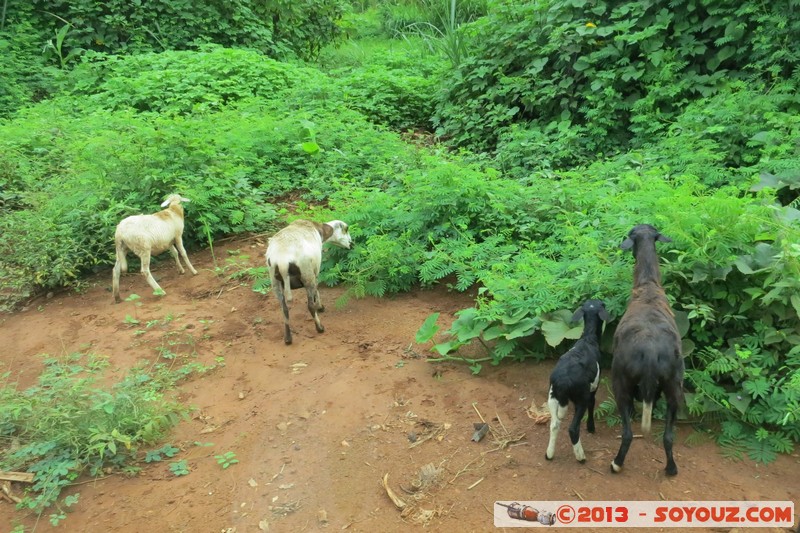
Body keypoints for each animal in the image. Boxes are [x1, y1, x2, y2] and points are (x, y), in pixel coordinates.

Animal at [612, 222, 680, 476]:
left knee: (628, 433)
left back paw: (616, 463)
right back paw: (671, 468)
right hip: (675, 386)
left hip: (620, 381)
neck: (648, 286)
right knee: (669, 436)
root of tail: (651, 354)